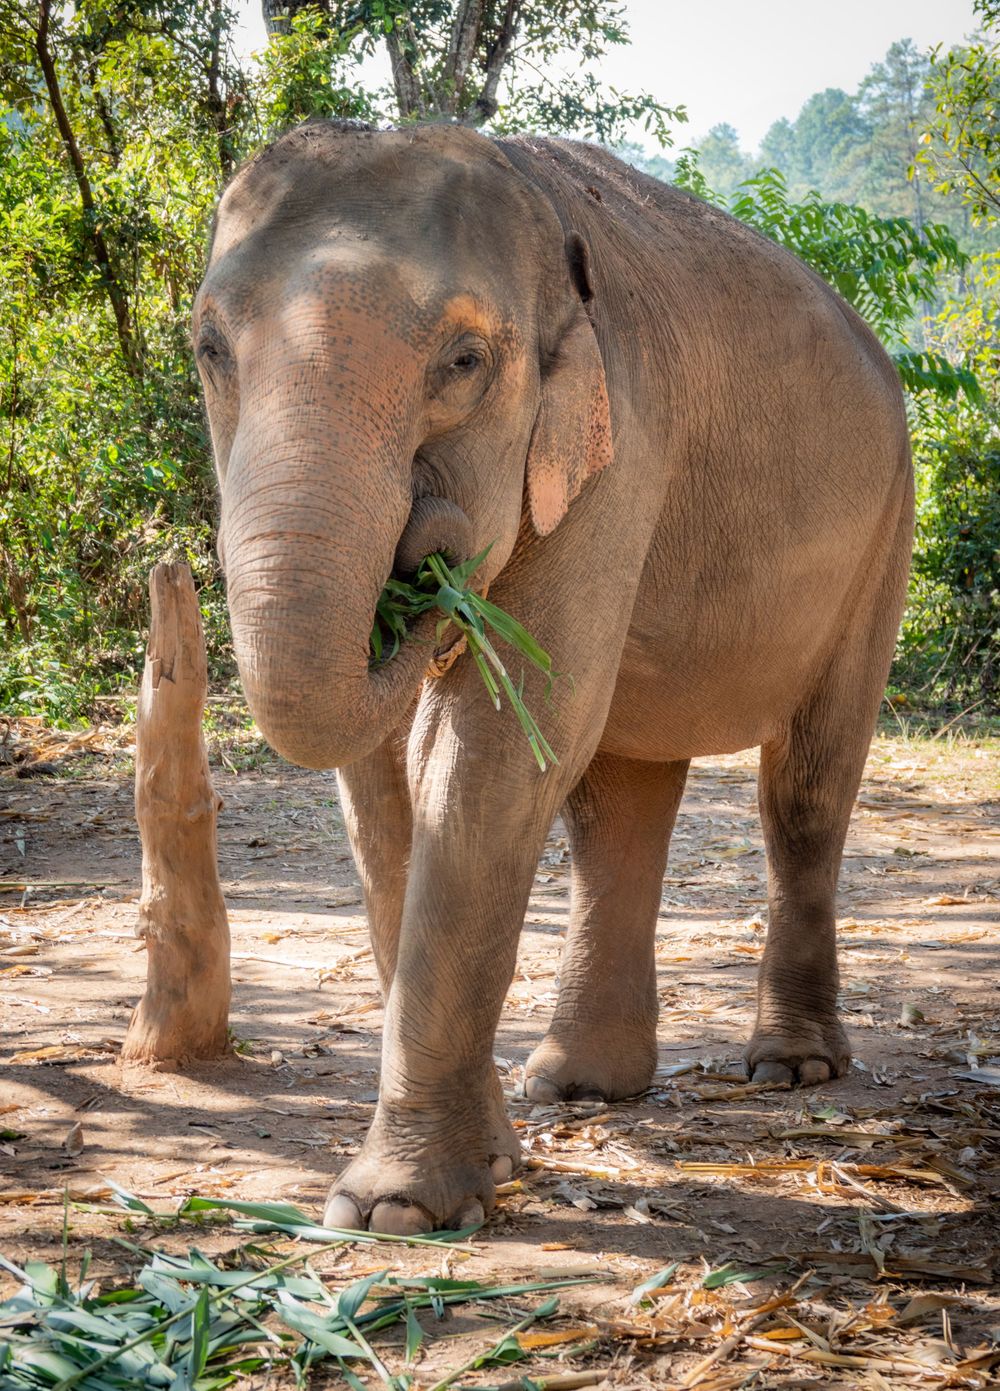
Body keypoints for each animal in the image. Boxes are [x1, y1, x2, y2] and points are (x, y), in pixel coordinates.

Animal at [193, 119, 914, 1236]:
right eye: (210, 350)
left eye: (464, 360)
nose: (429, 561)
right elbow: (384, 782)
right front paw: (489, 1162)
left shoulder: (619, 453)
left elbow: (491, 749)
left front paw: (396, 1211)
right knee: (619, 796)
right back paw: (578, 1085)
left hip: (884, 528)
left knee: (803, 785)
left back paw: (789, 1069)